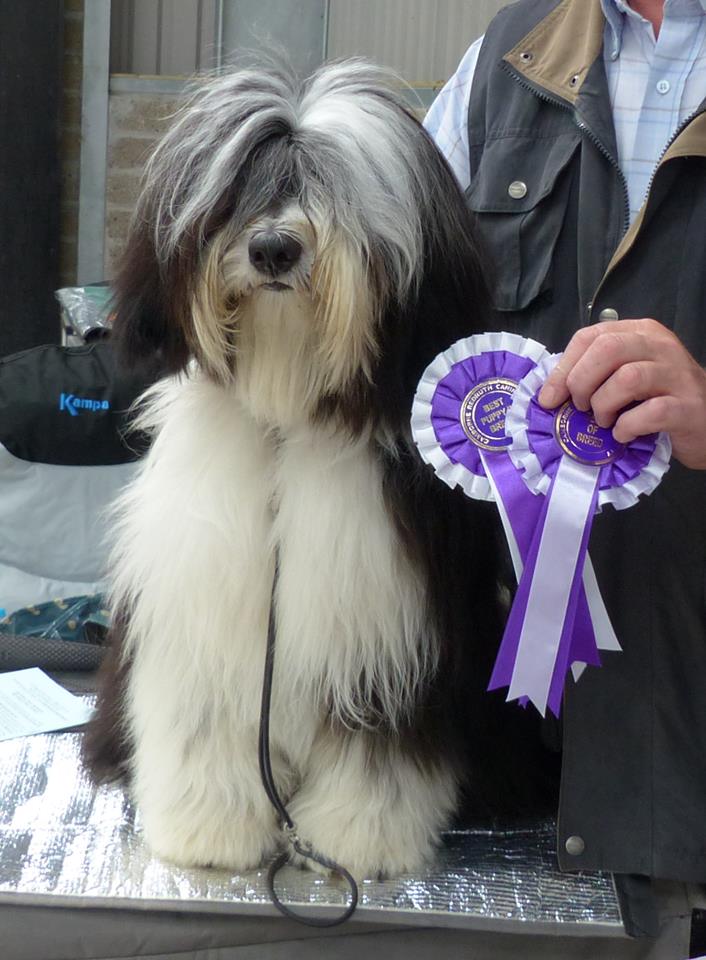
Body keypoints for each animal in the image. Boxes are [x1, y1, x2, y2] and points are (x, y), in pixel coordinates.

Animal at [84, 56, 556, 872]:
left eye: (334, 191)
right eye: (236, 194)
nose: (274, 248)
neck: (288, 412)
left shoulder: (388, 630)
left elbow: (379, 751)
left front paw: (358, 837)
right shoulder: (203, 610)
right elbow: (204, 724)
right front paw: (209, 829)